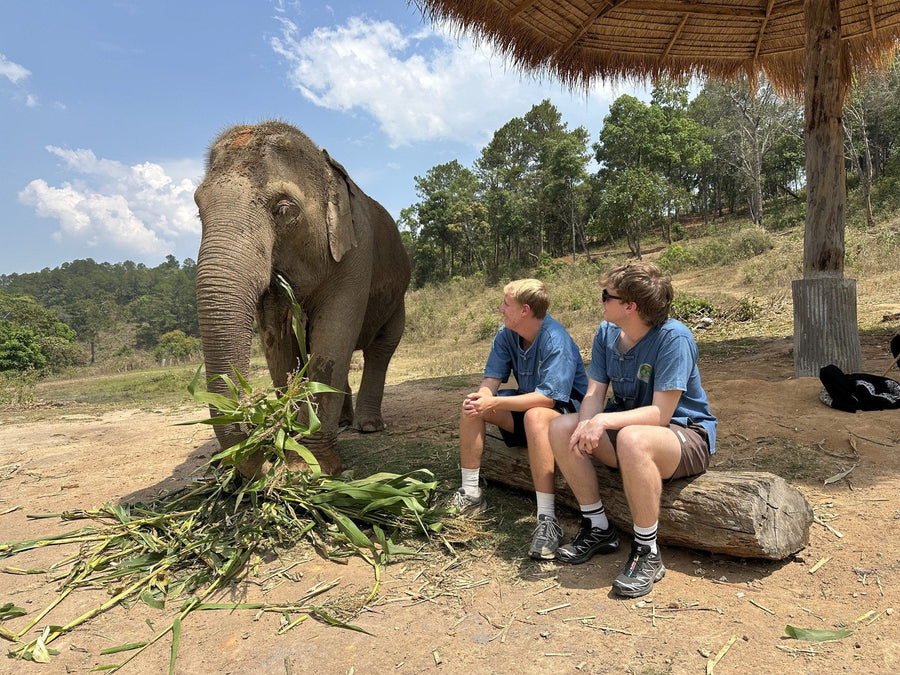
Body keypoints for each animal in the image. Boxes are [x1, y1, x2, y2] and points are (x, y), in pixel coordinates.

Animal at [194, 121, 411, 477]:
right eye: (198, 208)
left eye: (283, 209)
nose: (266, 458)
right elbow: (279, 344)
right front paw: (289, 446)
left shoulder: (356, 255)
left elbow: (333, 337)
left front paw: (308, 469)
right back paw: (345, 423)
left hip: (398, 300)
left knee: (381, 349)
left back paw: (367, 426)